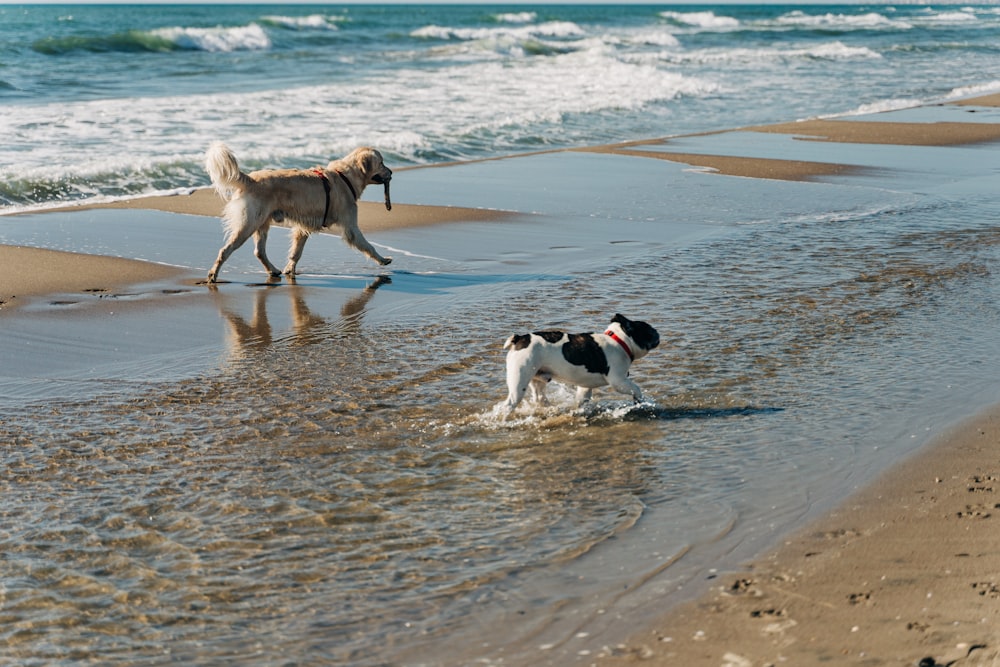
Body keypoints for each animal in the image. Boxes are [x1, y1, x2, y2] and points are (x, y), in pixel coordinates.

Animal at [202, 142, 390, 284]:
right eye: (381, 163)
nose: (391, 172)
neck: (346, 176)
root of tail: (251, 179)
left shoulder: (302, 228)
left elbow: (295, 252)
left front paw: (289, 270)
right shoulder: (351, 226)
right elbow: (368, 245)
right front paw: (383, 259)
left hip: (261, 223)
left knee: (259, 252)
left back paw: (273, 270)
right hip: (248, 223)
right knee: (225, 250)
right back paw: (212, 275)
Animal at [500, 316, 656, 420]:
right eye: (648, 330)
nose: (657, 331)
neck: (619, 341)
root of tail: (519, 339)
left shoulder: (585, 387)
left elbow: (581, 401)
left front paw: (579, 412)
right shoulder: (619, 381)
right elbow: (636, 389)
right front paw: (640, 402)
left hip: (537, 377)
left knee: (539, 397)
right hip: (519, 381)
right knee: (508, 405)